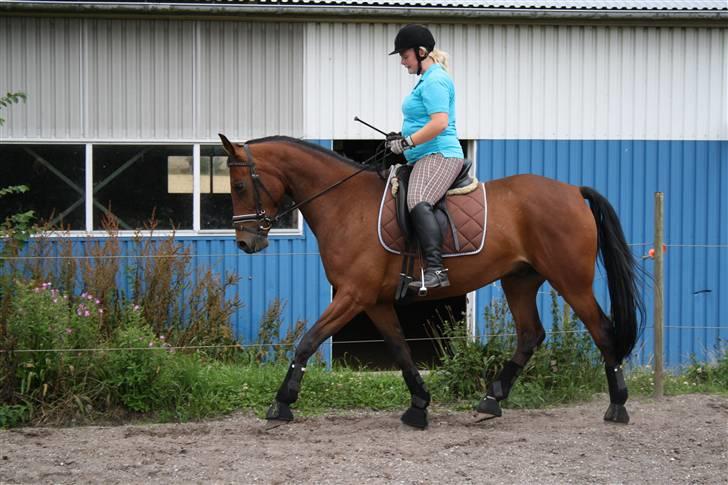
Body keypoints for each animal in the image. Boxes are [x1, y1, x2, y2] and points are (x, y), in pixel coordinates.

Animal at [218, 132, 644, 428]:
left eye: (238, 186)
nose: (245, 242)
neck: (345, 205)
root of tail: (572, 191)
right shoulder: (374, 301)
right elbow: (401, 350)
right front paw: (419, 406)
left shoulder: (352, 296)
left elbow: (308, 341)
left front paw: (281, 403)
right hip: (520, 281)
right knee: (530, 335)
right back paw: (491, 401)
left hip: (571, 281)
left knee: (602, 330)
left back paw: (617, 406)